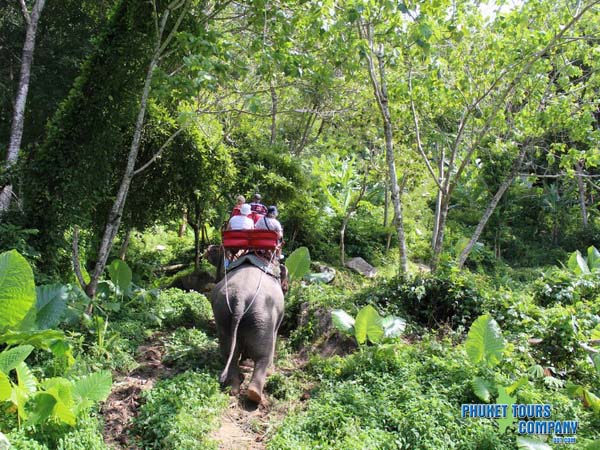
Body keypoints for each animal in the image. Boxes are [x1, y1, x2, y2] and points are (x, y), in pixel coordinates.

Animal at [210, 262, 284, 402]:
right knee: (262, 356)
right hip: (262, 316)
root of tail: (241, 297)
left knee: (229, 352)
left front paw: (244, 361)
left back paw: (233, 388)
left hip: (222, 314)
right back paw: (255, 394)